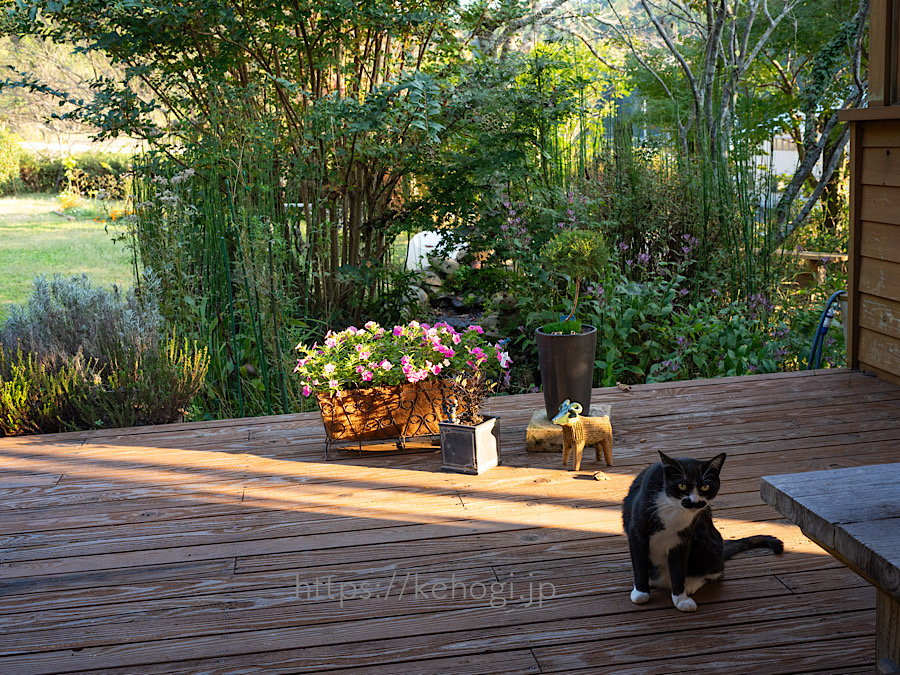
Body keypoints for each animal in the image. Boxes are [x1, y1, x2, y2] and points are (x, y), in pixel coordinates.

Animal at [624, 454, 780, 612]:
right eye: (682, 485)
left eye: (705, 486)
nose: (695, 502)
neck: (673, 509)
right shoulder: (637, 533)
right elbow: (639, 563)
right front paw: (641, 592)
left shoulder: (682, 540)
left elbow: (678, 569)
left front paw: (681, 599)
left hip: (704, 537)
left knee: (717, 570)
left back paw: (691, 583)